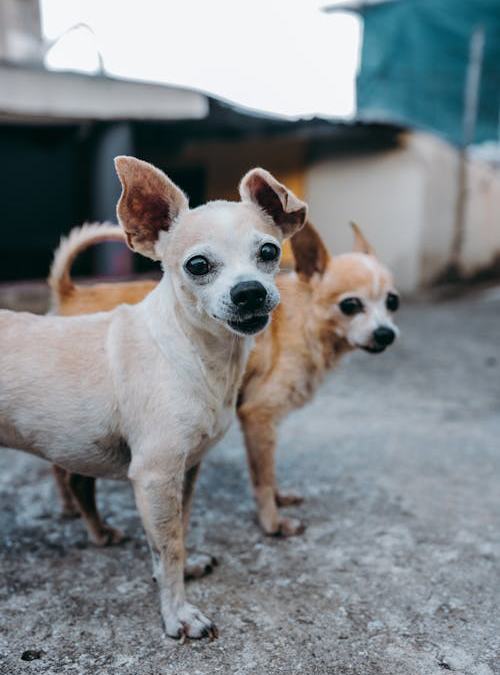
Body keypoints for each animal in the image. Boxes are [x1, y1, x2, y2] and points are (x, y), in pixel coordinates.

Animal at [0, 154, 306, 640]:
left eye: (269, 252)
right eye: (197, 265)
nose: (250, 291)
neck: (196, 356)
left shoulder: (186, 469)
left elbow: (177, 532)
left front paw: (181, 572)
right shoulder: (155, 476)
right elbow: (169, 547)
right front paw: (178, 613)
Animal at [48, 219, 400, 540]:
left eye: (392, 302)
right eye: (350, 305)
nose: (386, 334)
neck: (304, 317)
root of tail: (68, 292)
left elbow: (268, 472)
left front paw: (279, 500)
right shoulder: (258, 417)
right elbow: (263, 476)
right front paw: (272, 523)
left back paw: (69, 507)